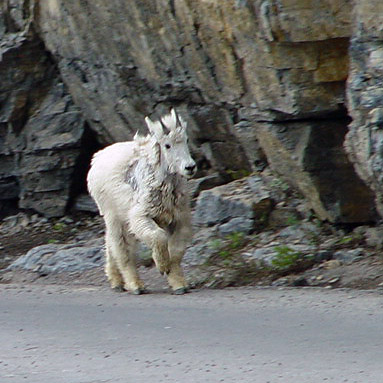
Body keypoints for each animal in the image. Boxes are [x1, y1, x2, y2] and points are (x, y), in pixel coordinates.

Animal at [86, 109, 196, 296]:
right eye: (167, 145)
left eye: (187, 140)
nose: (190, 167)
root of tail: (97, 157)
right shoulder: (141, 215)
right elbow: (159, 237)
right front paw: (162, 266)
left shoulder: (179, 218)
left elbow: (176, 251)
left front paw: (179, 284)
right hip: (112, 214)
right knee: (122, 248)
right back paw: (135, 285)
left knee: (111, 243)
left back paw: (116, 281)